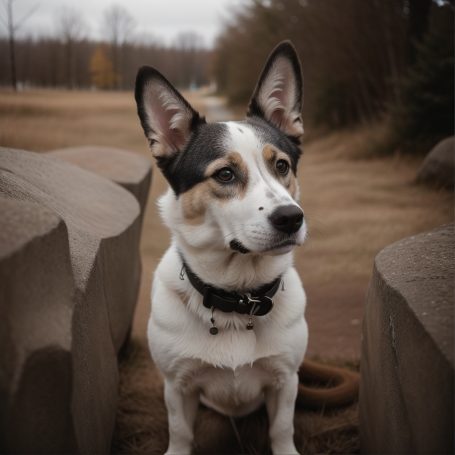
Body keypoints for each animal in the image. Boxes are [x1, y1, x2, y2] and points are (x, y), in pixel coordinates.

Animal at [135, 41, 312, 454]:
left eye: (282, 166)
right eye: (225, 174)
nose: (291, 218)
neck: (238, 297)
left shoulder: (286, 380)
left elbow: (282, 430)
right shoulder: (177, 385)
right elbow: (180, 433)